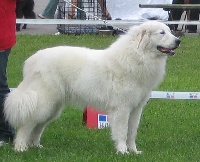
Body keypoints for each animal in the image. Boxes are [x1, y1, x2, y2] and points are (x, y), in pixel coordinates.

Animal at [4, 20, 180, 154]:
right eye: (161, 33)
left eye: (170, 31)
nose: (178, 41)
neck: (138, 56)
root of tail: (31, 61)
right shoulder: (122, 108)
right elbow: (122, 132)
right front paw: (122, 151)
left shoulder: (136, 108)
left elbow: (132, 132)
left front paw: (134, 152)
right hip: (44, 103)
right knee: (27, 124)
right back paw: (20, 147)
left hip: (53, 108)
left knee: (38, 127)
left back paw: (35, 146)